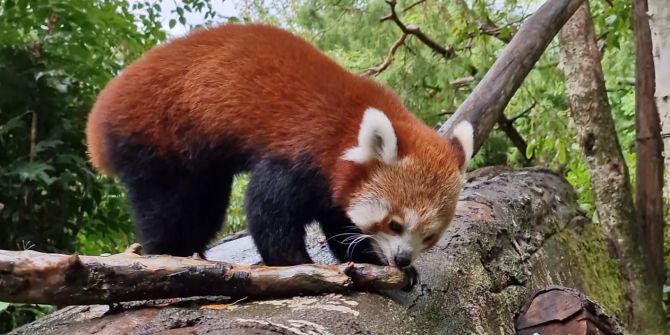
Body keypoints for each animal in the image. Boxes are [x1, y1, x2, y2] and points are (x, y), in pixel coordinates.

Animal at [85, 22, 472, 276]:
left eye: (429, 236)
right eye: (394, 224)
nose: (403, 259)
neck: (348, 128)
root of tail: (101, 108)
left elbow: (340, 220)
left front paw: (370, 259)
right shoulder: (301, 148)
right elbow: (269, 208)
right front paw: (294, 261)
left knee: (205, 206)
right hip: (159, 135)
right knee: (166, 207)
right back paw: (171, 253)